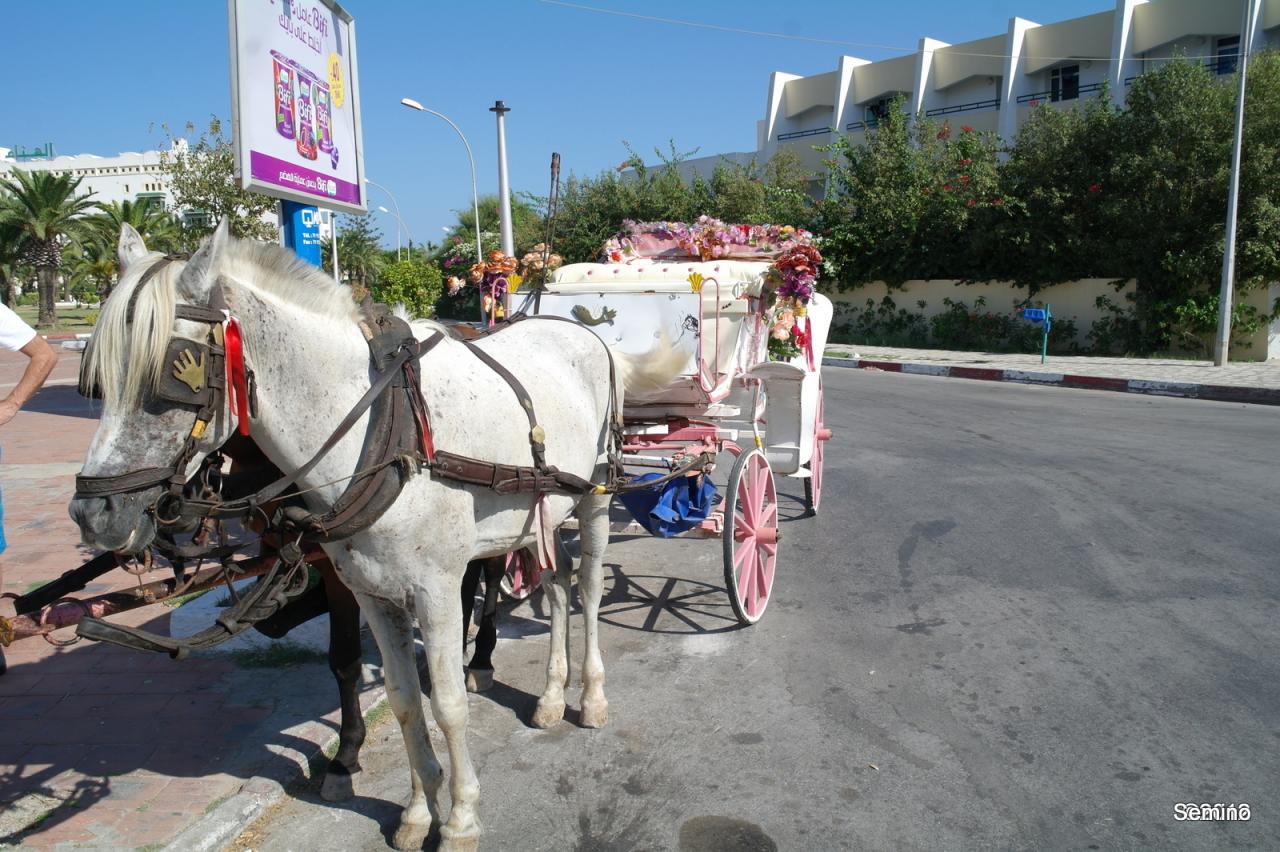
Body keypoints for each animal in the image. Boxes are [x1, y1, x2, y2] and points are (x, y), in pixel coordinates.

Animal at [67, 220, 691, 849]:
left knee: (586, 589)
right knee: (558, 585)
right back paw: (550, 696)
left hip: (594, 497)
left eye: (175, 373)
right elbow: (404, 699)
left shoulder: (437, 591)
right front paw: (417, 812)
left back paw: (589, 697)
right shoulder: (372, 592)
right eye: (95, 382)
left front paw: (460, 817)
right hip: (533, 515)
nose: (95, 515)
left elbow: (449, 703)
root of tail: (587, 334)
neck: (382, 431)